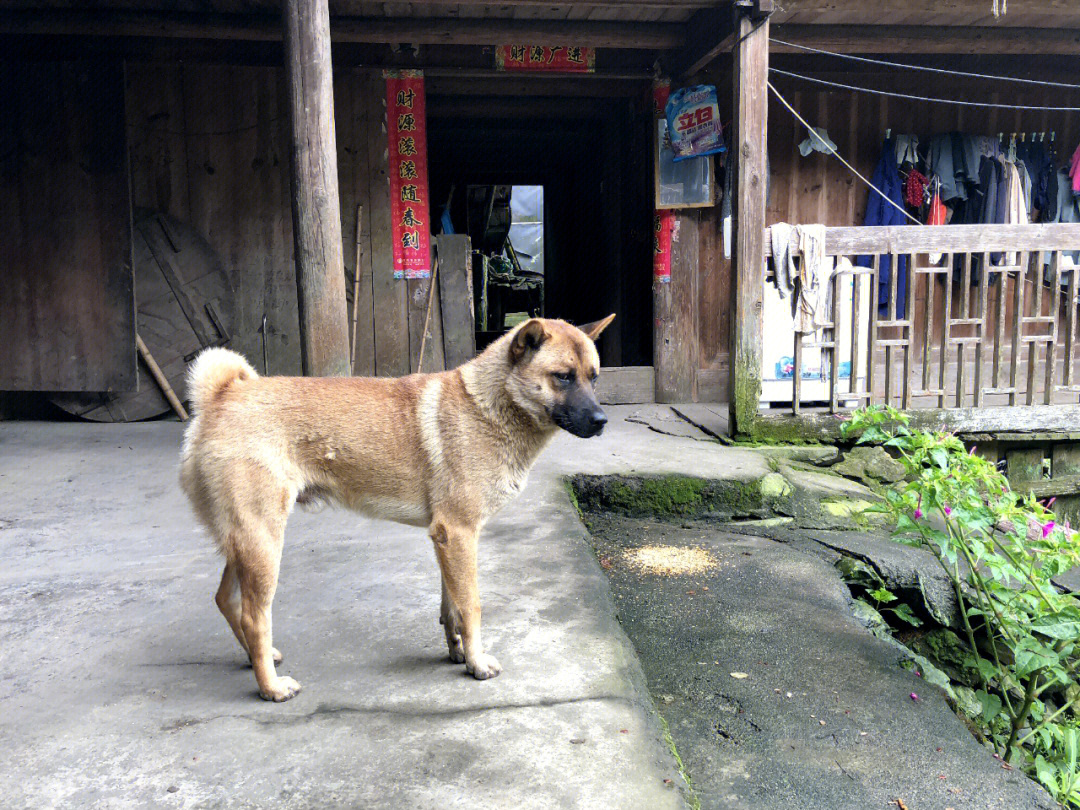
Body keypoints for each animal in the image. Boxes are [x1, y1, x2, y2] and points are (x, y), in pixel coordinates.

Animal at [181, 313, 613, 699]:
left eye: (594, 376)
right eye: (563, 376)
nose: (601, 421)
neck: (487, 406)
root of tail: (221, 395)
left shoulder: (446, 539)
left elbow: (451, 607)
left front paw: (457, 651)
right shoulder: (459, 534)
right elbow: (471, 605)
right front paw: (477, 662)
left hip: (246, 544)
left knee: (226, 600)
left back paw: (260, 659)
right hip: (264, 543)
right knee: (254, 616)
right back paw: (270, 686)